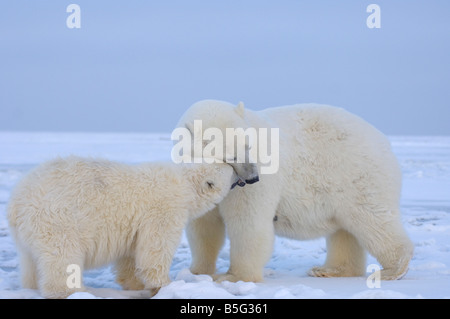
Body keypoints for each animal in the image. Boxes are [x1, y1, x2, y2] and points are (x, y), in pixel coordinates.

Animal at [7, 158, 237, 300]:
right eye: (228, 167)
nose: (237, 170)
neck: (184, 184)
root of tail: (16, 202)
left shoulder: (135, 225)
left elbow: (131, 254)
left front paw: (135, 284)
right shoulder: (163, 210)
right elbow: (155, 249)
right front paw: (165, 285)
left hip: (28, 234)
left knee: (30, 264)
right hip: (58, 220)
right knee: (63, 258)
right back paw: (76, 291)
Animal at [176, 99, 414, 282]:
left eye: (248, 145)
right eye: (231, 155)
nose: (254, 178)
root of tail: (385, 142)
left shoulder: (258, 184)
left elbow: (247, 223)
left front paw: (235, 277)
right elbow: (204, 226)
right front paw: (196, 272)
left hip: (358, 175)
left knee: (373, 220)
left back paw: (392, 269)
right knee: (346, 229)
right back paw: (329, 270)